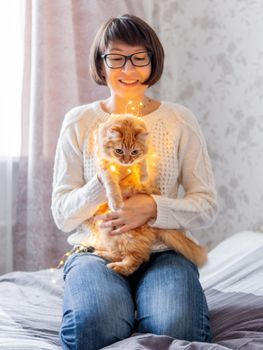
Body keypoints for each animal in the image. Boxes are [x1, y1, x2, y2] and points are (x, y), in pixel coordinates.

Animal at [83, 115, 208, 276]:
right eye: (119, 151)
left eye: (134, 152)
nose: (126, 161)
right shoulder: (106, 166)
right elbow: (111, 184)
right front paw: (115, 201)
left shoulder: (145, 153)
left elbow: (143, 163)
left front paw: (142, 176)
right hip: (111, 232)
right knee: (125, 255)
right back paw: (103, 254)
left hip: (126, 235)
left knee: (136, 258)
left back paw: (116, 266)